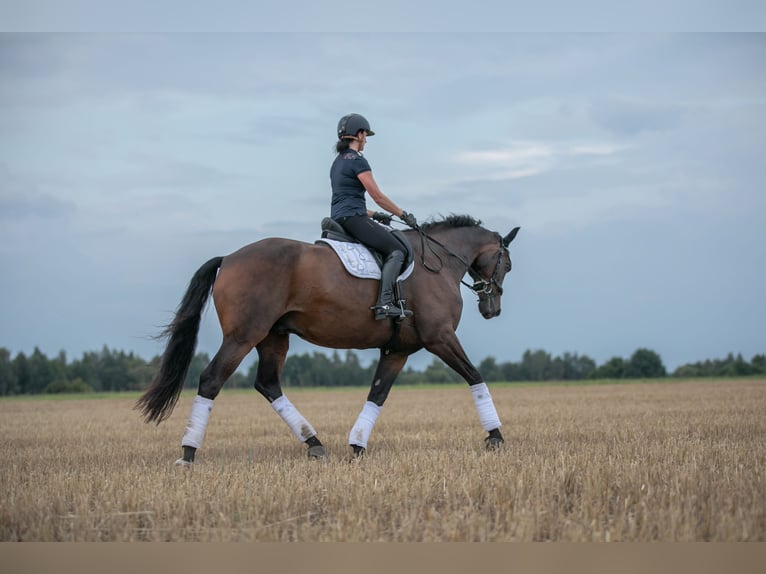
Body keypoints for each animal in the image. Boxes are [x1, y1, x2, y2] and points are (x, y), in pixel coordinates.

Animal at [136, 216, 520, 468]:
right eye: (507, 264)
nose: (493, 308)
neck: (437, 262)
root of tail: (228, 258)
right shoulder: (440, 337)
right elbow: (475, 377)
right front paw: (496, 436)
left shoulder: (397, 350)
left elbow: (378, 394)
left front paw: (357, 445)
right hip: (243, 336)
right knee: (211, 380)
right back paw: (188, 453)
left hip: (273, 338)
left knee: (268, 383)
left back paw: (314, 443)